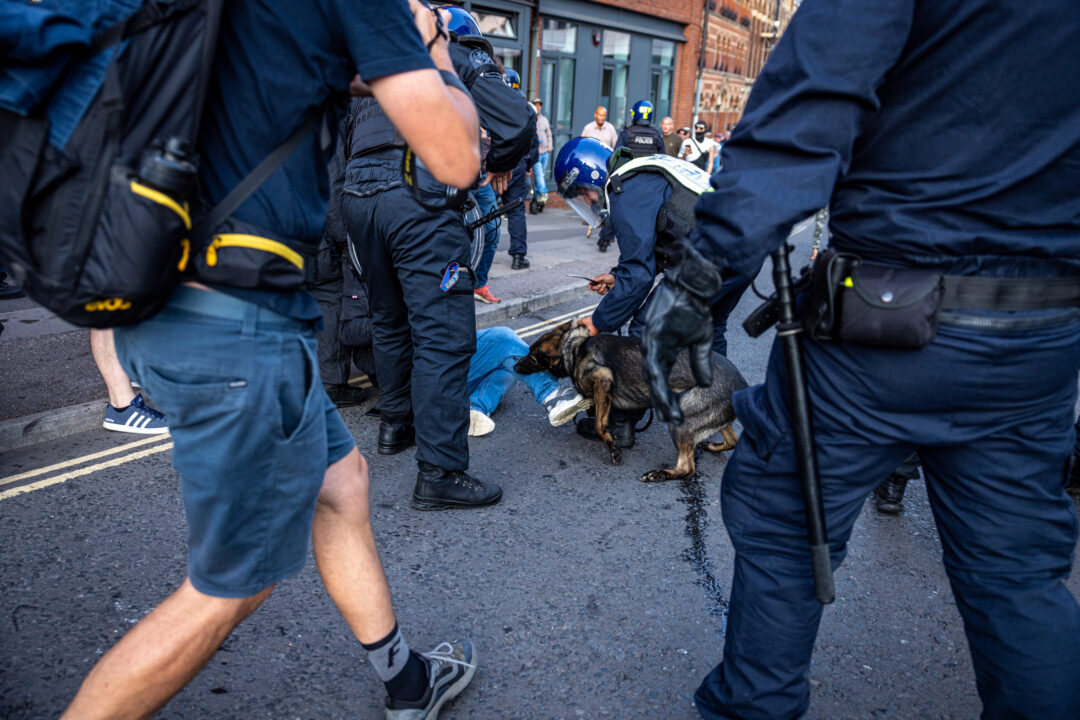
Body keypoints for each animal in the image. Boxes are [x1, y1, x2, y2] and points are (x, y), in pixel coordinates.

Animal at [511, 321, 747, 481]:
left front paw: (613, 448)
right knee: (733, 440)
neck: (575, 348)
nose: (514, 366)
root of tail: (741, 384)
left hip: (683, 417)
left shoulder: (603, 379)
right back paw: (712, 446)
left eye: (532, 356)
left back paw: (659, 474)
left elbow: (600, 425)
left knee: (688, 469)